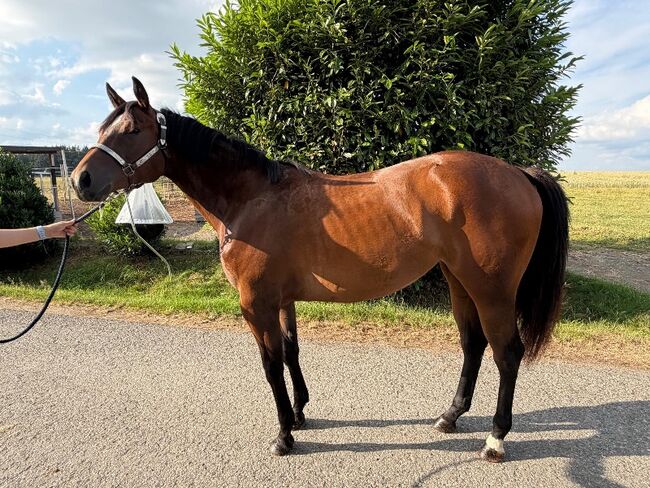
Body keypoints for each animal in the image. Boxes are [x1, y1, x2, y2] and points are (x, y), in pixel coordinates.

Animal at [71, 77, 569, 463]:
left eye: (132, 129)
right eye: (103, 127)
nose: (81, 180)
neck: (251, 199)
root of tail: (518, 172)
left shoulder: (255, 303)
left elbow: (271, 364)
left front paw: (283, 436)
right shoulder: (281, 300)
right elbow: (291, 353)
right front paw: (299, 414)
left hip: (492, 288)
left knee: (507, 352)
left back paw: (495, 439)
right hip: (458, 279)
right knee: (473, 344)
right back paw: (450, 416)